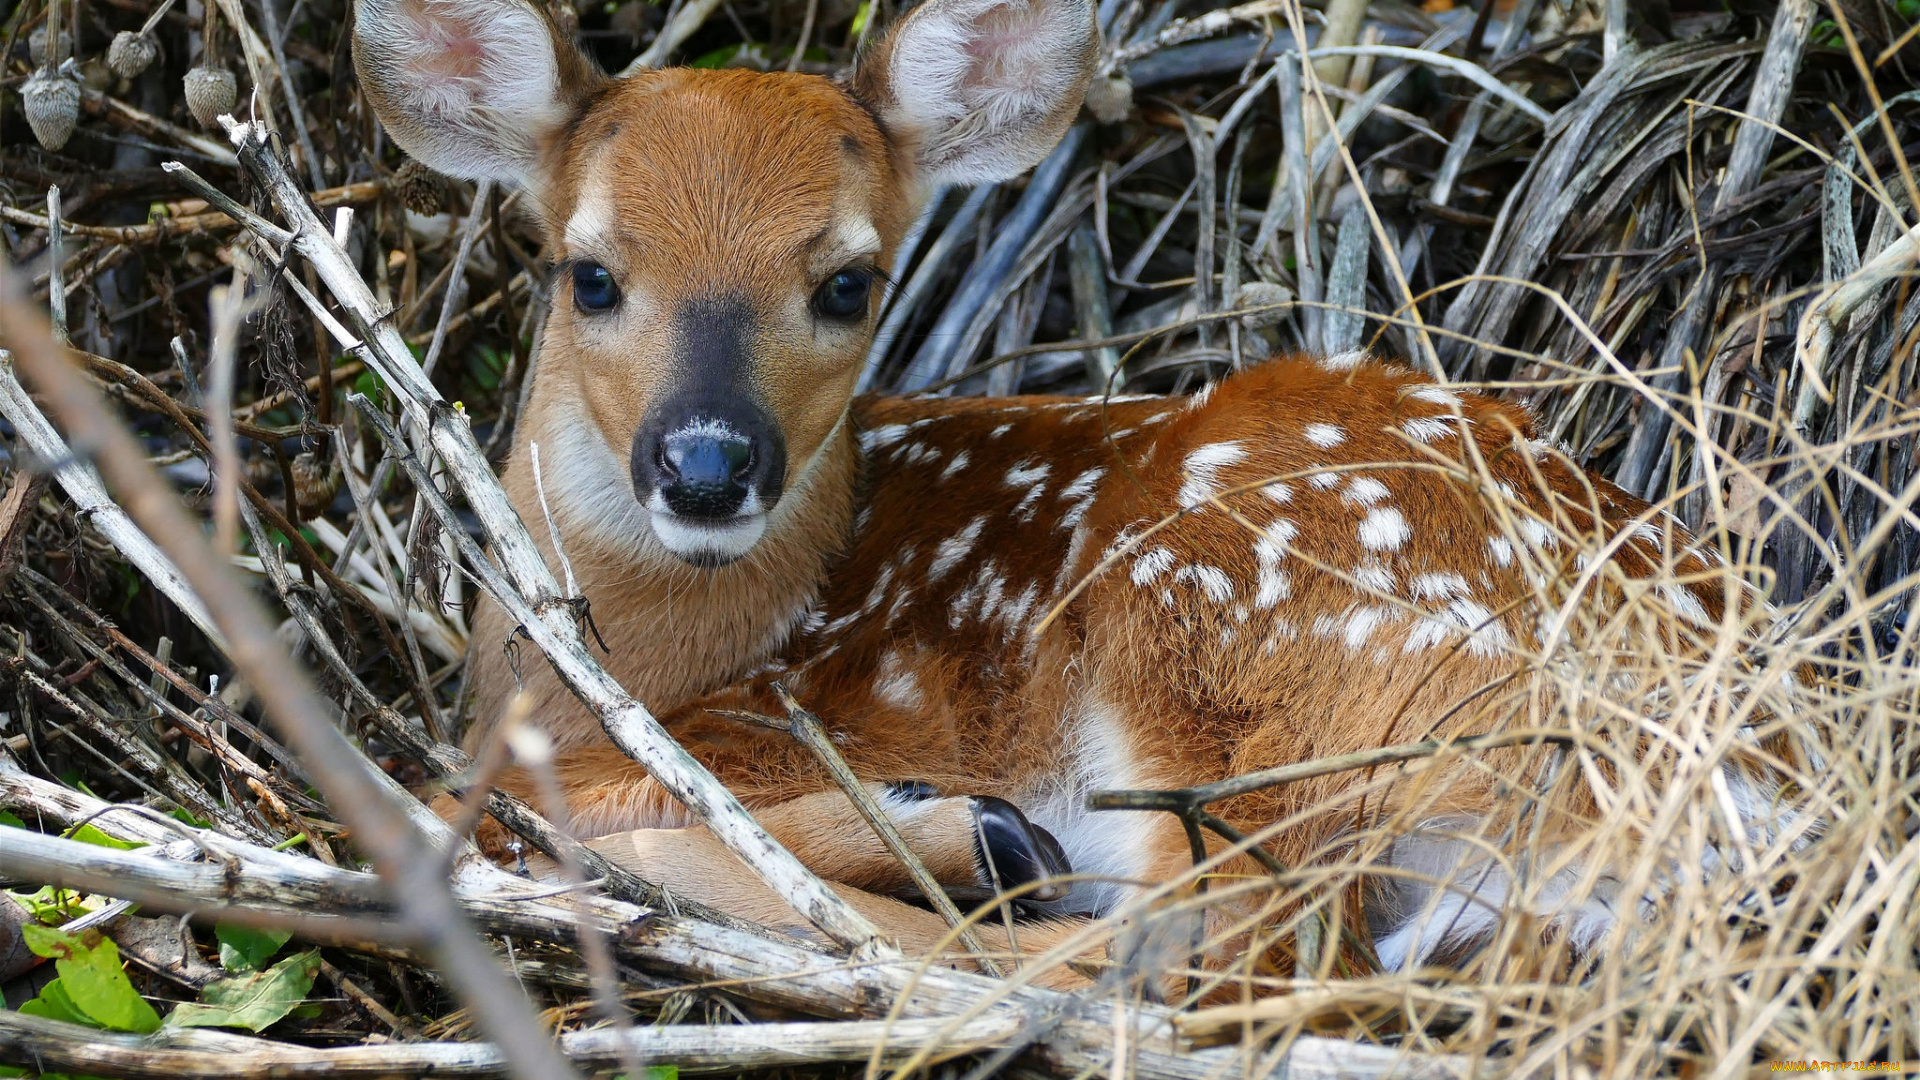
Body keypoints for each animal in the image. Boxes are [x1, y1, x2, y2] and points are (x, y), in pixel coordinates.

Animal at [357, 0, 1797, 983]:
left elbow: (519, 807)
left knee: (1202, 957)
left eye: (849, 282)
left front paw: (949, 831)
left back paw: (982, 853)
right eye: (589, 274)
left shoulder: (765, 730)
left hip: (1245, 648)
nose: (707, 463)